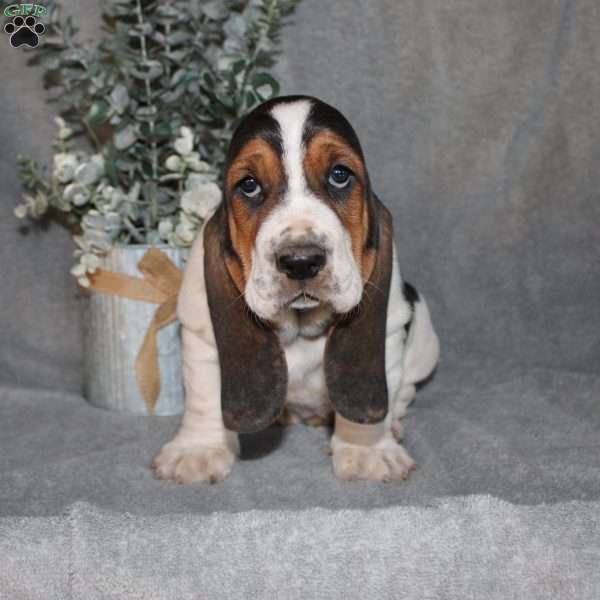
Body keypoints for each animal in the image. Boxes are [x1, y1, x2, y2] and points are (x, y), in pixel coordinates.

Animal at [152, 97, 438, 482]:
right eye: (249, 185)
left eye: (339, 175)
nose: (301, 261)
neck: (301, 325)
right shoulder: (202, 334)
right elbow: (205, 395)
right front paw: (198, 450)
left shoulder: (389, 330)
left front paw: (367, 450)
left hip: (424, 340)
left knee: (405, 388)